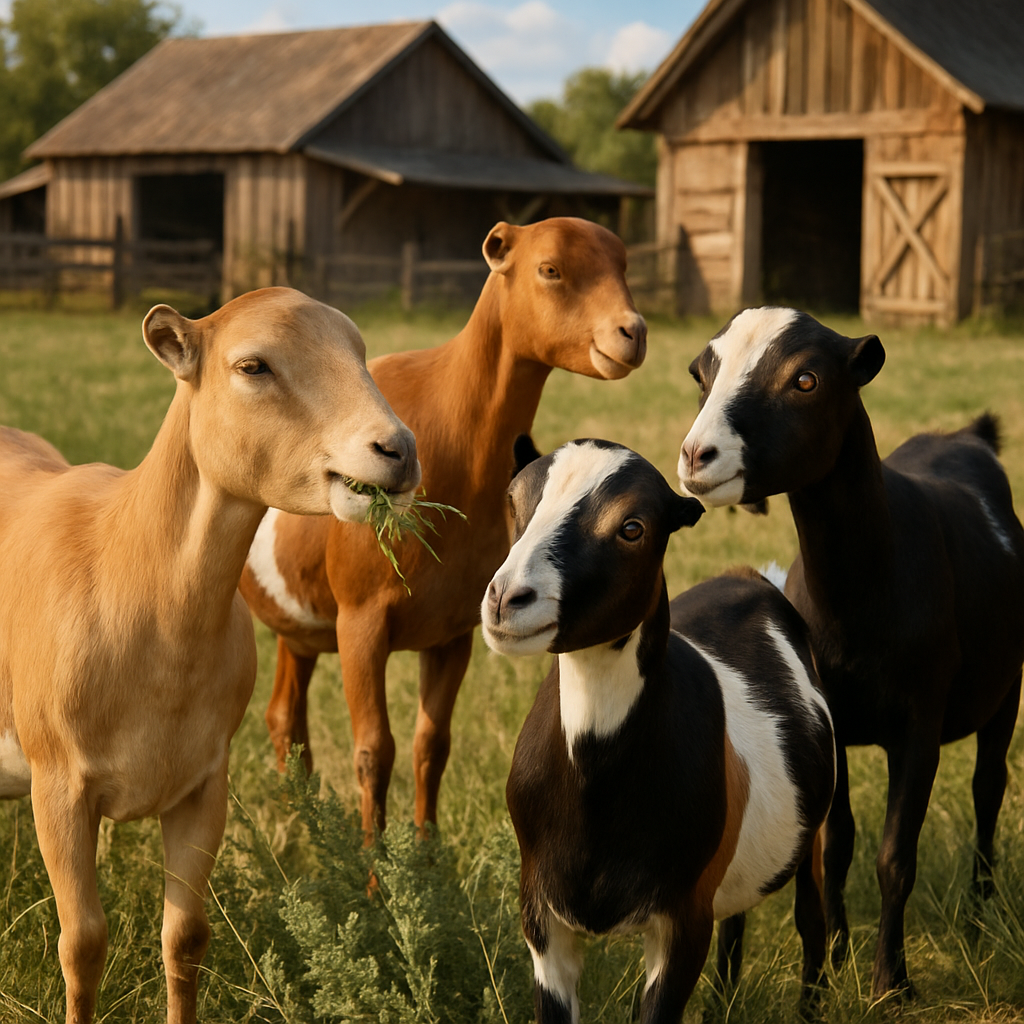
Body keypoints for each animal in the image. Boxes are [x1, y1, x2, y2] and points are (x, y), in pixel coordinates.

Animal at [0, 288, 419, 1024]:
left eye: (359, 351)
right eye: (252, 365)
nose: (396, 449)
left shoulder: (204, 781)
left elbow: (187, 936)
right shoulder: (59, 783)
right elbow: (82, 944)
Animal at [239, 217, 647, 836]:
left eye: (623, 266)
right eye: (550, 268)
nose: (631, 332)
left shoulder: (455, 632)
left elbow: (431, 746)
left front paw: (428, 852)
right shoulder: (360, 623)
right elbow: (373, 750)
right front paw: (375, 861)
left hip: (300, 627)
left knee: (285, 716)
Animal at [482, 439, 835, 1022]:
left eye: (632, 527)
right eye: (513, 500)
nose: (508, 599)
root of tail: (752, 576)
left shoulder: (682, 919)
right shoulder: (541, 919)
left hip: (816, 826)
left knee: (812, 917)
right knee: (736, 923)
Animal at [678, 306, 1024, 998]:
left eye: (805, 380)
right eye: (702, 373)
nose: (698, 455)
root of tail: (967, 438)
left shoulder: (920, 720)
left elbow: (895, 855)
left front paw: (893, 982)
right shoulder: (830, 716)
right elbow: (839, 843)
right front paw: (837, 956)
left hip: (1008, 686)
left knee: (989, 789)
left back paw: (980, 919)